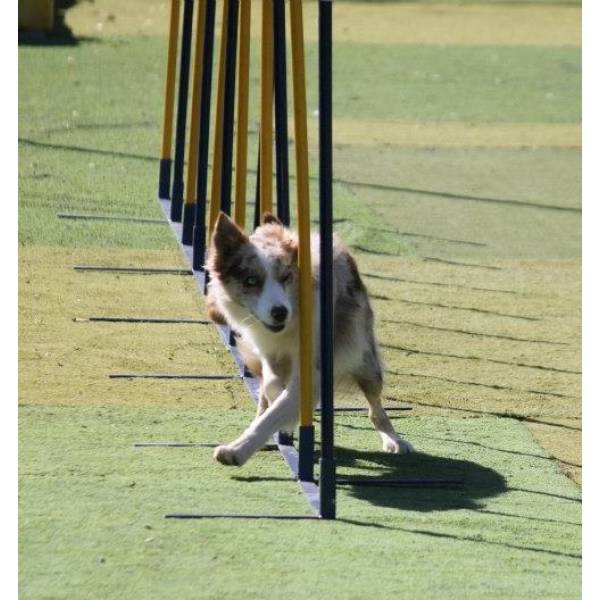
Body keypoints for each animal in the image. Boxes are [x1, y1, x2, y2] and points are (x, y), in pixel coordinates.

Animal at [205, 212, 412, 468]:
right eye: (251, 281)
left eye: (286, 277)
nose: (279, 312)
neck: (290, 324)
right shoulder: (269, 351)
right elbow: (271, 385)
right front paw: (274, 404)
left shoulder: (313, 364)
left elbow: (277, 411)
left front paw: (237, 450)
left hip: (365, 358)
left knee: (375, 407)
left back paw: (394, 440)